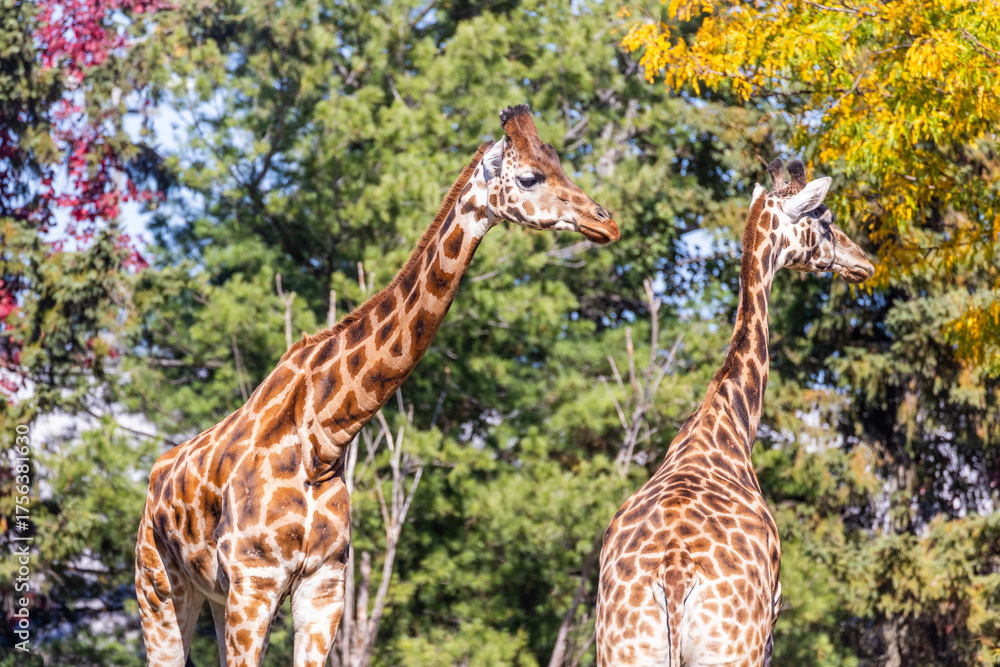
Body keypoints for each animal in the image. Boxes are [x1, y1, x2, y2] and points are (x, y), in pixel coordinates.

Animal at [134, 105, 619, 667]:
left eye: (560, 162)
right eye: (529, 177)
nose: (606, 222)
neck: (322, 439)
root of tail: (153, 478)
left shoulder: (324, 585)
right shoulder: (255, 583)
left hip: (213, 595)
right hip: (160, 587)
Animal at [595, 159, 874, 667]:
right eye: (825, 220)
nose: (863, 261)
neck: (727, 424)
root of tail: (674, 575)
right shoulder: (769, 629)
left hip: (621, 648)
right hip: (733, 648)